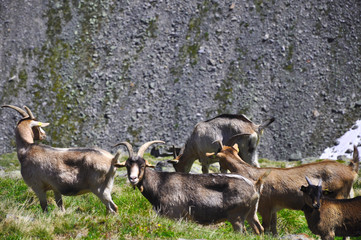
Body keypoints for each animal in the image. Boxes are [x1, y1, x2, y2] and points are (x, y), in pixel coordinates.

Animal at [114, 141, 268, 234]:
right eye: (127, 165)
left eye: (142, 165)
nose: (133, 178)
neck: (160, 182)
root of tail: (254, 185)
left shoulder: (174, 214)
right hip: (251, 213)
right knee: (258, 229)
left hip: (237, 217)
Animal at [207, 135, 358, 234]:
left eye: (218, 157)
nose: (221, 170)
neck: (251, 174)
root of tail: (351, 170)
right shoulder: (273, 209)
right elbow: (273, 230)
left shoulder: (264, 207)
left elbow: (265, 228)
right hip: (348, 194)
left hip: (338, 196)